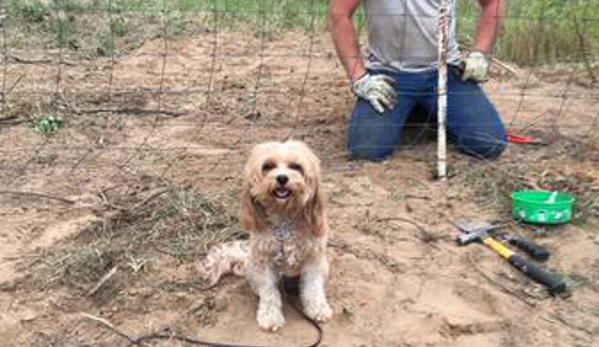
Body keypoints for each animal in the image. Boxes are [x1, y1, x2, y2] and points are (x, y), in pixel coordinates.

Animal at [200, 141, 332, 332]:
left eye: (296, 167)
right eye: (267, 167)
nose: (282, 178)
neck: (284, 222)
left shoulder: (313, 259)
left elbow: (313, 289)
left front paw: (318, 309)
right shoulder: (264, 263)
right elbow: (269, 293)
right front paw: (270, 317)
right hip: (253, 268)